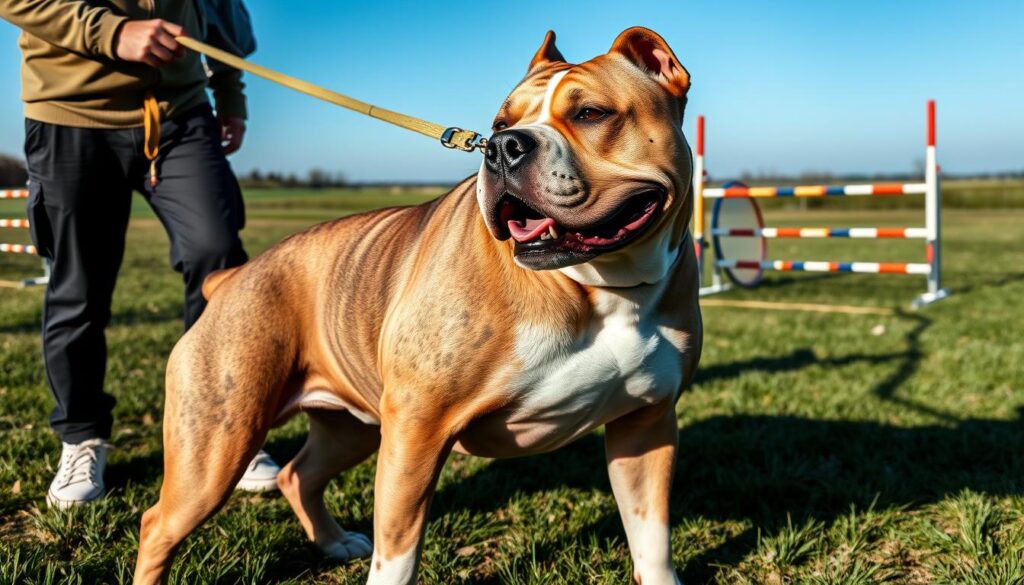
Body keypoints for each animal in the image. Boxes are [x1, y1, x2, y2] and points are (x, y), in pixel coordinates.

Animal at [134, 26, 696, 585]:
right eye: (499, 125)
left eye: (591, 113)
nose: (502, 147)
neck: (601, 286)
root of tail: (231, 280)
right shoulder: (417, 431)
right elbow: (398, 553)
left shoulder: (645, 426)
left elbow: (651, 538)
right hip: (218, 445)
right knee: (158, 524)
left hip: (350, 428)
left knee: (299, 475)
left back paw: (335, 542)